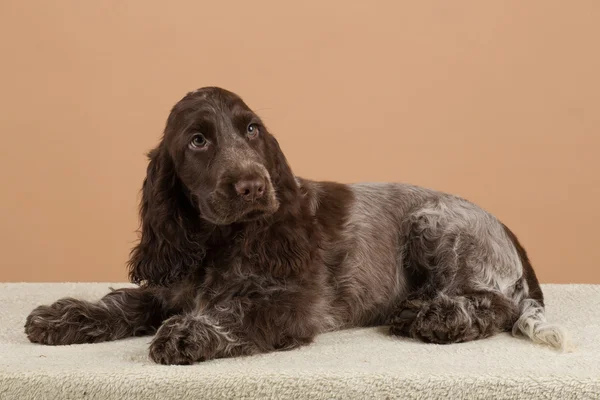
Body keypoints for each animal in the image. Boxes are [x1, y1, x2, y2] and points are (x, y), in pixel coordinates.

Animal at [23, 88, 568, 366]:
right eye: (198, 140)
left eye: (252, 130)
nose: (251, 186)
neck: (218, 243)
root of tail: (506, 230)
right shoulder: (170, 282)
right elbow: (124, 302)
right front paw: (62, 317)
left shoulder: (295, 303)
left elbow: (237, 312)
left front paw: (188, 334)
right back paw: (416, 309)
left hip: (433, 223)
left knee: (493, 303)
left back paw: (434, 317)